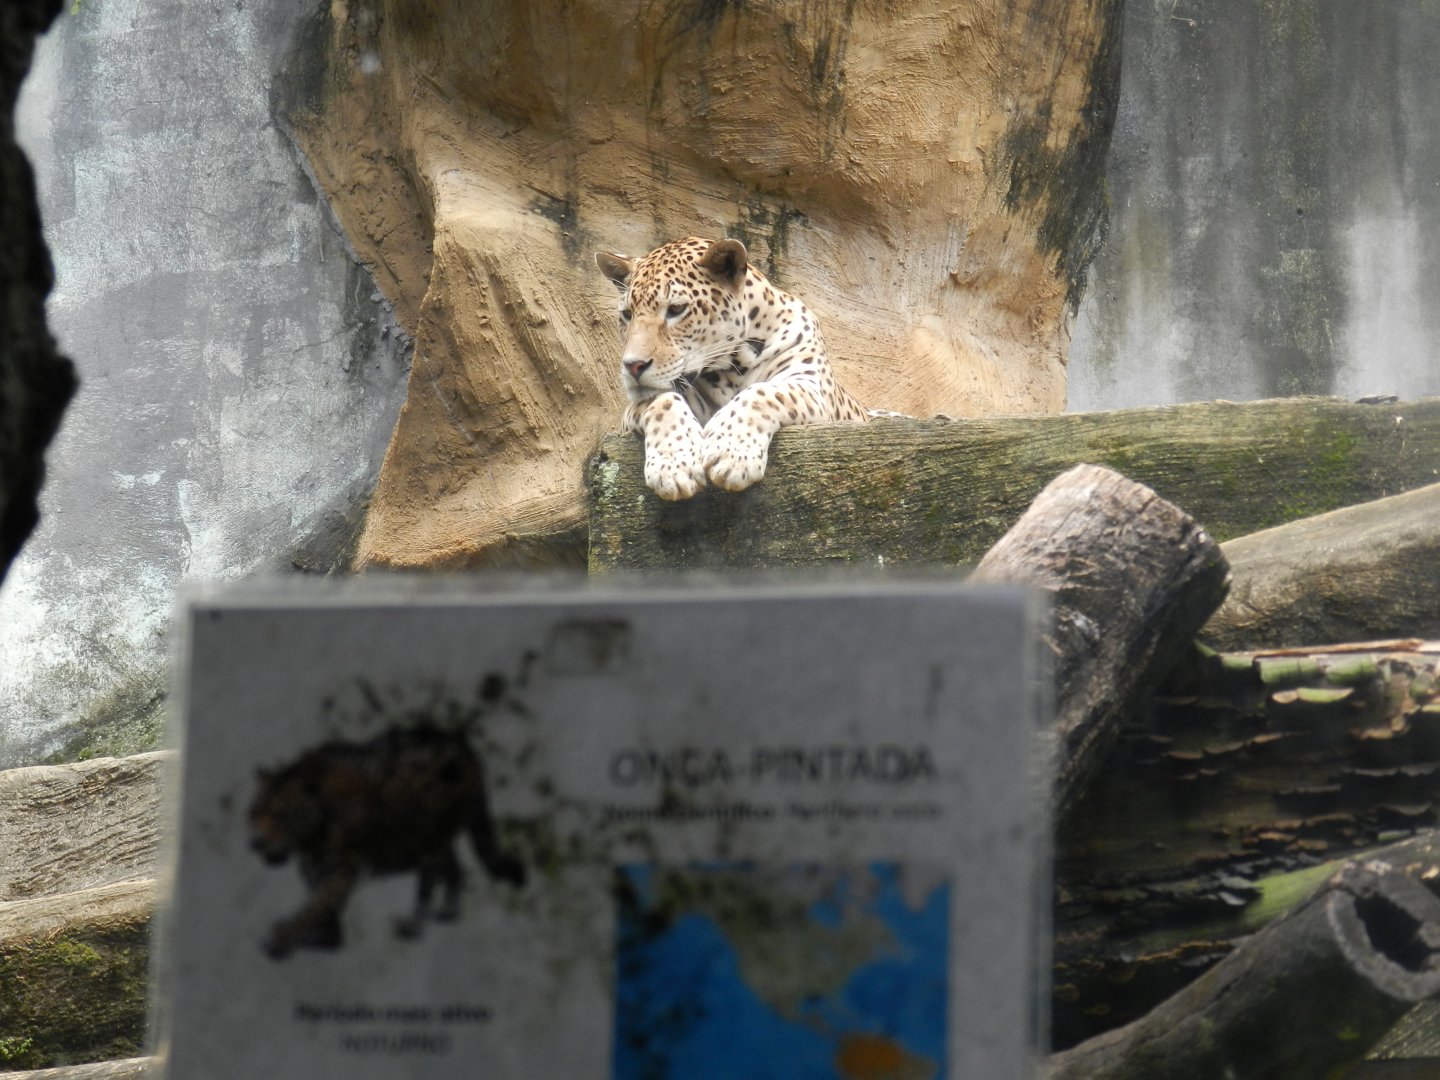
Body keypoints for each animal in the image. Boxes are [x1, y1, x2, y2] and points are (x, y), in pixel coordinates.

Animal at [248, 724, 525, 959]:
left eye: (281, 815)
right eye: (255, 812)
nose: (256, 843)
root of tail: (462, 745)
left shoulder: (342, 868)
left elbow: (315, 906)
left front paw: (283, 938)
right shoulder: (316, 868)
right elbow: (321, 909)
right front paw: (323, 935)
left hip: (429, 839)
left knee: (431, 886)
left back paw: (417, 924)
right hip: (429, 844)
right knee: (452, 870)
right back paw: (446, 912)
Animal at [595, 236, 871, 500]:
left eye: (676, 309)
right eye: (627, 314)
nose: (633, 366)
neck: (733, 368)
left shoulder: (810, 386)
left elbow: (764, 392)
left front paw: (732, 453)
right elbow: (661, 400)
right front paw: (674, 466)